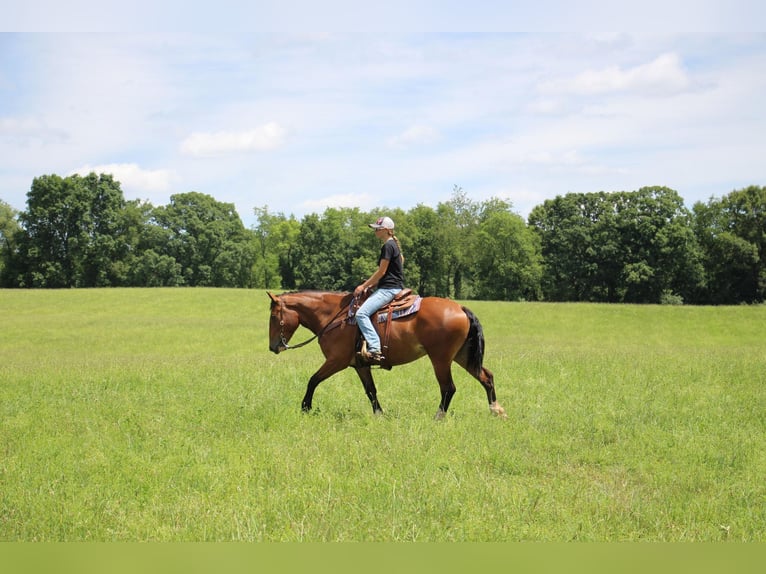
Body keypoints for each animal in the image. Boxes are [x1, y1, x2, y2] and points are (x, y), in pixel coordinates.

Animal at [268, 290, 508, 420]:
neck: (334, 316)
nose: (273, 347)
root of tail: (460, 308)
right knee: (487, 377)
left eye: (273, 316)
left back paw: (438, 417)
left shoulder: (336, 360)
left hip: (440, 359)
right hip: (462, 356)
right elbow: (371, 391)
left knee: (448, 388)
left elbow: (313, 380)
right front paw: (379, 415)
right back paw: (496, 410)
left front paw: (305, 407)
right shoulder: (360, 365)